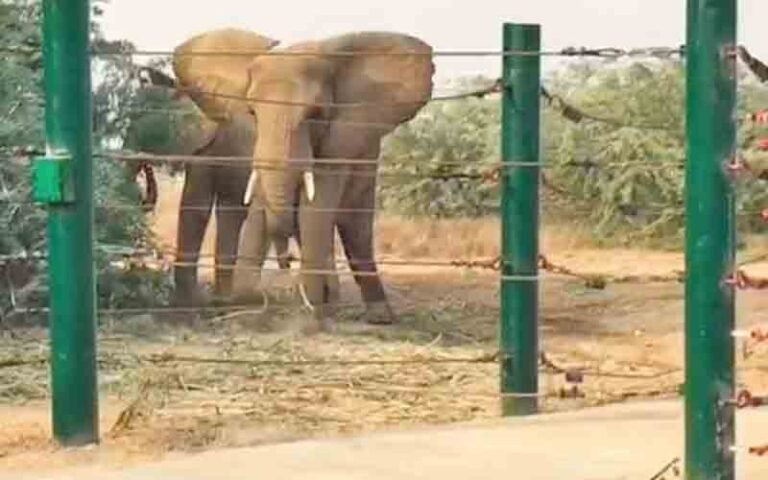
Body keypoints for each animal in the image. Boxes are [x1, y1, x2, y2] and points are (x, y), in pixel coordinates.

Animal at [231, 31, 438, 326]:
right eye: (251, 112)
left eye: (315, 114)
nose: (286, 263)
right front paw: (246, 303)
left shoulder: (341, 139)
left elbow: (317, 207)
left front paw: (316, 309)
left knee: (355, 227)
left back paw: (376, 315)